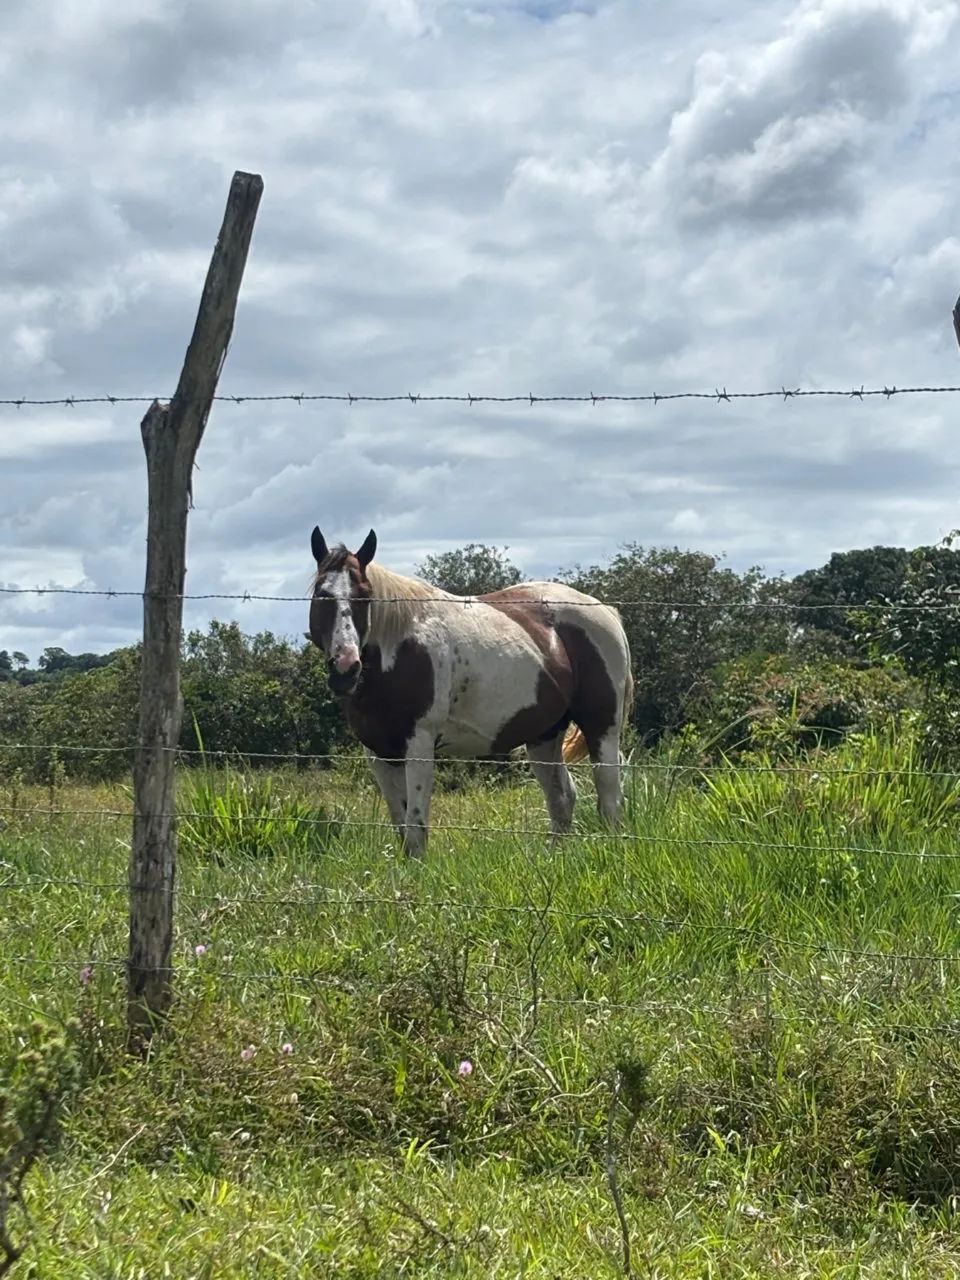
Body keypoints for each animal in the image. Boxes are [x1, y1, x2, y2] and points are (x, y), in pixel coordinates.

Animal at [308, 526, 634, 857]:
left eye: (364, 596)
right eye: (322, 594)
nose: (346, 667)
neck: (397, 651)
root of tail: (608, 613)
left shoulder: (419, 745)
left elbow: (415, 828)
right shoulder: (379, 753)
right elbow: (401, 826)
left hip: (602, 729)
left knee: (610, 799)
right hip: (544, 736)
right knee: (562, 799)